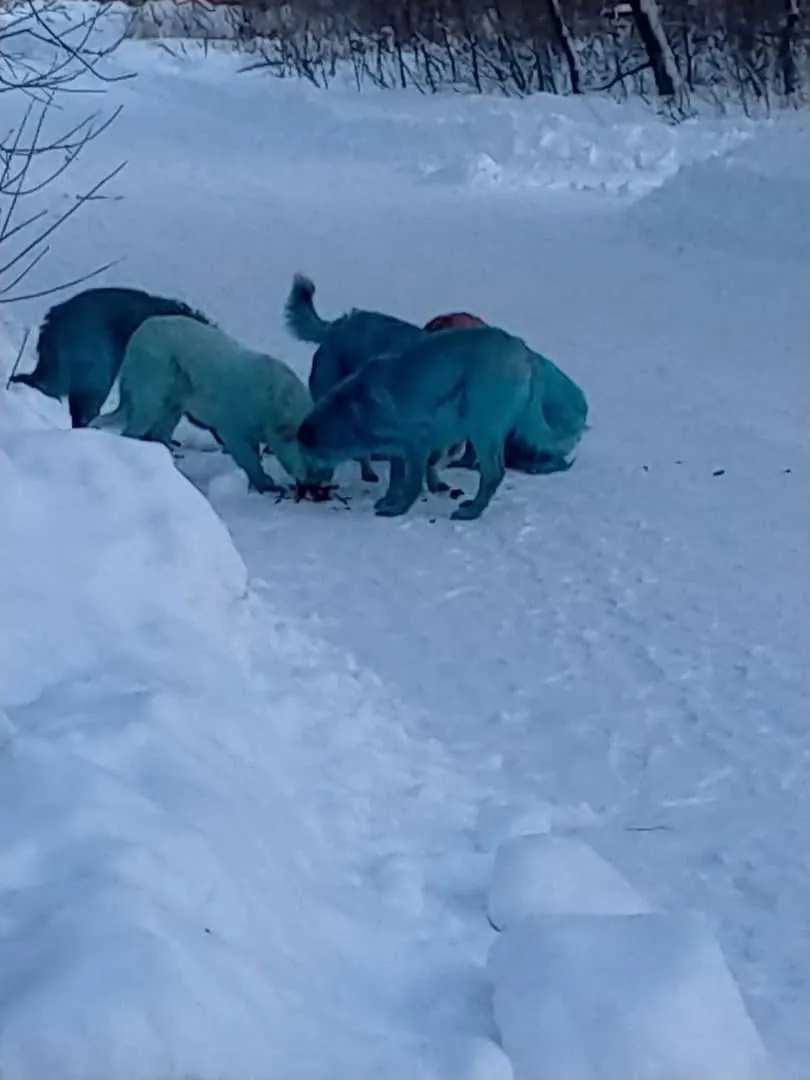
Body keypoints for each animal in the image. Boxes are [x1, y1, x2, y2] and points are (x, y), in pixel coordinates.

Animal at [94, 313, 332, 494]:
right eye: (312, 463)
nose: (319, 486)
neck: (275, 405)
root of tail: (138, 333)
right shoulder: (234, 428)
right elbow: (248, 457)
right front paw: (266, 484)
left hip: (174, 399)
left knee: (160, 430)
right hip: (153, 385)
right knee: (136, 427)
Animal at [298, 321, 557, 520]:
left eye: (307, 457)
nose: (305, 487)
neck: (353, 411)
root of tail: (522, 349)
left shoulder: (417, 445)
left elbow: (411, 483)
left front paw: (397, 509)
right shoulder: (399, 450)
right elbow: (396, 478)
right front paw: (389, 499)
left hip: (481, 429)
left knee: (493, 473)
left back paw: (471, 512)